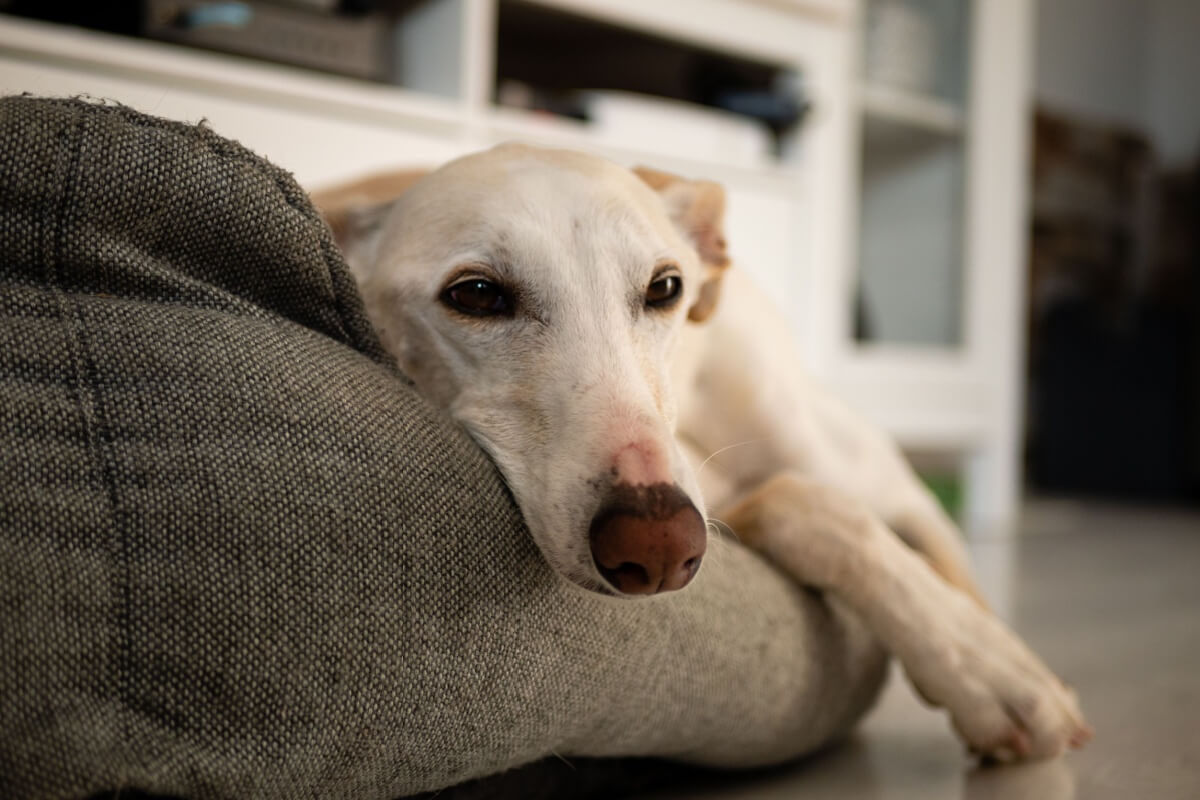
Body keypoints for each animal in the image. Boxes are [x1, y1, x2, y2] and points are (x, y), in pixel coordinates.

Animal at [314, 143, 1094, 762]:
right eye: (476, 294)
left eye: (665, 287)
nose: (659, 547)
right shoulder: (711, 498)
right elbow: (799, 506)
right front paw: (988, 674)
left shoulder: (886, 493)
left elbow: (932, 565)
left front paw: (994, 668)